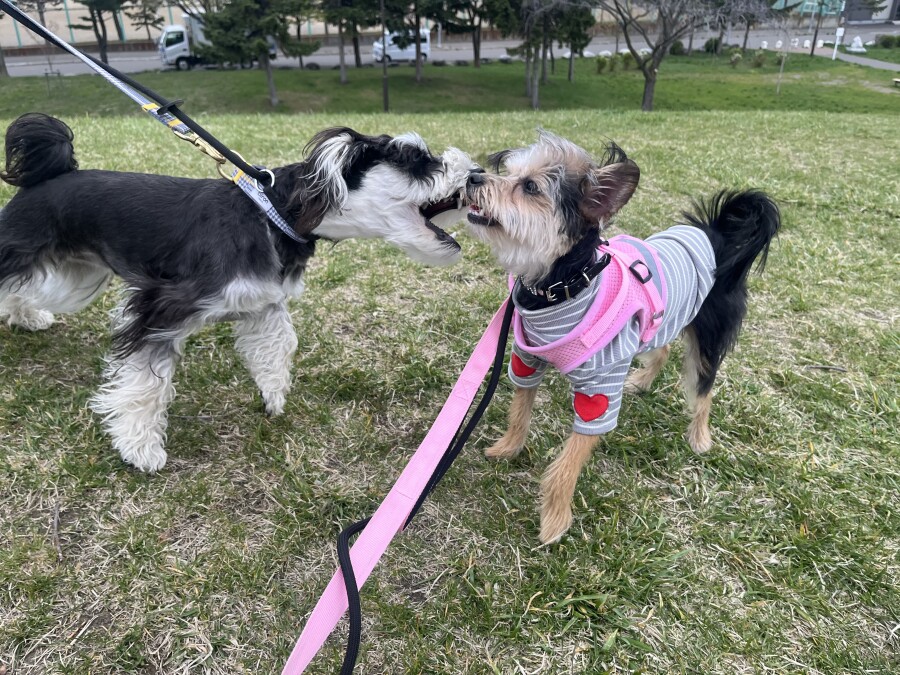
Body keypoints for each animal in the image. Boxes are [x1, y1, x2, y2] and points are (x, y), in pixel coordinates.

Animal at [0, 112, 478, 473]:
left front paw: (273, 394)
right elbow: (145, 383)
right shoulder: (161, 307)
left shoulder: (261, 303)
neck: (273, 214)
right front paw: (140, 448)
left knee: (26, 292)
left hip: (75, 277)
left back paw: (29, 316)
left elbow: (277, 345)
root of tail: (42, 181)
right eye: (415, 159)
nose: (477, 174)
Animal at [465, 131, 780, 544]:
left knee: (703, 389)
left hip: (708, 339)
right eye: (508, 172)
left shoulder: (600, 391)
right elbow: (520, 411)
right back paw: (643, 380)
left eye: (530, 187)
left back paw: (699, 437)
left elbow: (568, 462)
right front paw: (507, 448)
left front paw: (555, 519)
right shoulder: (526, 359)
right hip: (666, 317)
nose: (472, 176)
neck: (561, 288)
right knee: (661, 348)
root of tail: (714, 235)